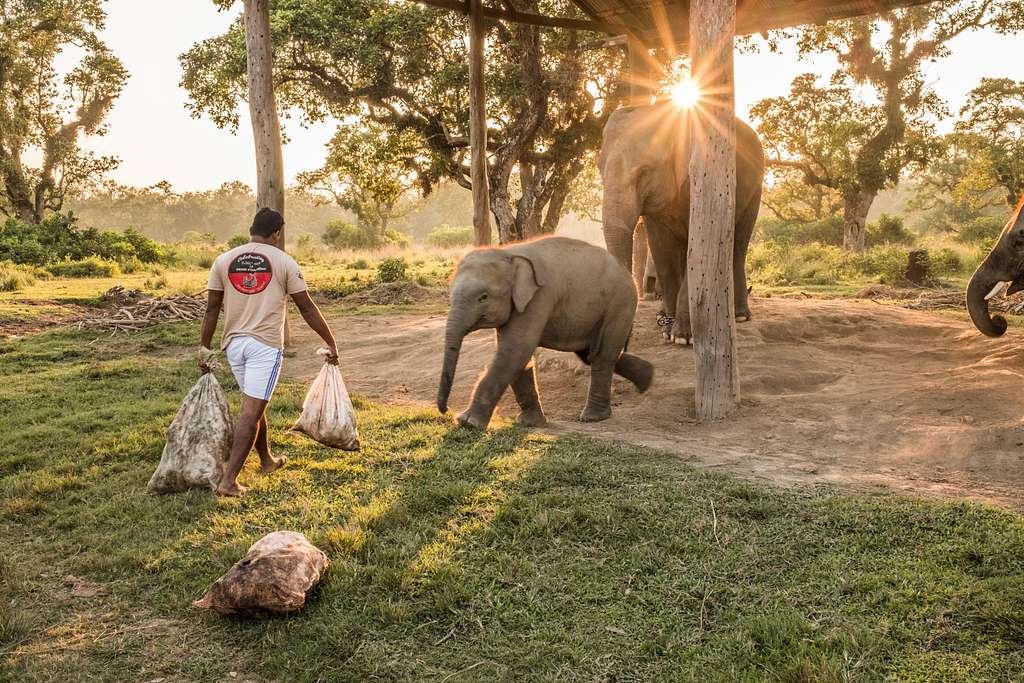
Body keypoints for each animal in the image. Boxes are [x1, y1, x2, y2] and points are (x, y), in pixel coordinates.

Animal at [437, 236, 654, 430]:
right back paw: (647, 378)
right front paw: (530, 423)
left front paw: (467, 423)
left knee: (602, 355)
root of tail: (628, 274)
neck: (508, 253)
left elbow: (515, 350)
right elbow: (518, 356)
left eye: (483, 297)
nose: (445, 410)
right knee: (590, 354)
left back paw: (593, 417)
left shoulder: (539, 297)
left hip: (620, 304)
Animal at [599, 99, 766, 344]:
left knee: (739, 245)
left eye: (645, 172)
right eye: (599, 170)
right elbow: (661, 250)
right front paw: (668, 332)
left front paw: (683, 338)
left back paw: (740, 316)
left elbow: (696, 248)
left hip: (755, 190)